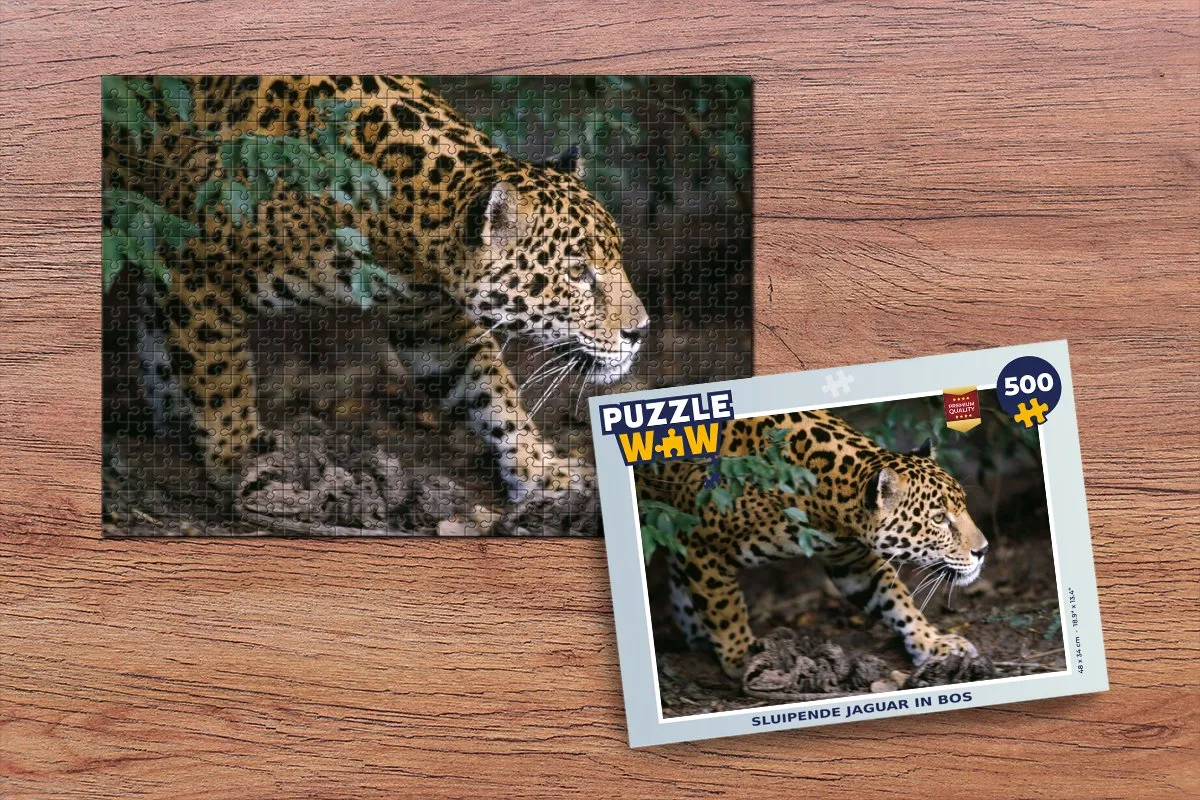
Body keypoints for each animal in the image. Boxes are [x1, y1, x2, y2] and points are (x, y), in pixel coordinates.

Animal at [103, 76, 649, 509]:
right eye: (577, 273)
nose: (641, 330)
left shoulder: (430, 320)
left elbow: (492, 391)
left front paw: (542, 471)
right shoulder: (194, 268)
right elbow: (221, 377)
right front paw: (238, 458)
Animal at [635, 409, 989, 678]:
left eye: (962, 506)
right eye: (939, 519)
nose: (983, 550)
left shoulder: (852, 562)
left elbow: (896, 600)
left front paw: (932, 643)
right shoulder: (702, 542)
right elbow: (725, 609)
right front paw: (741, 656)